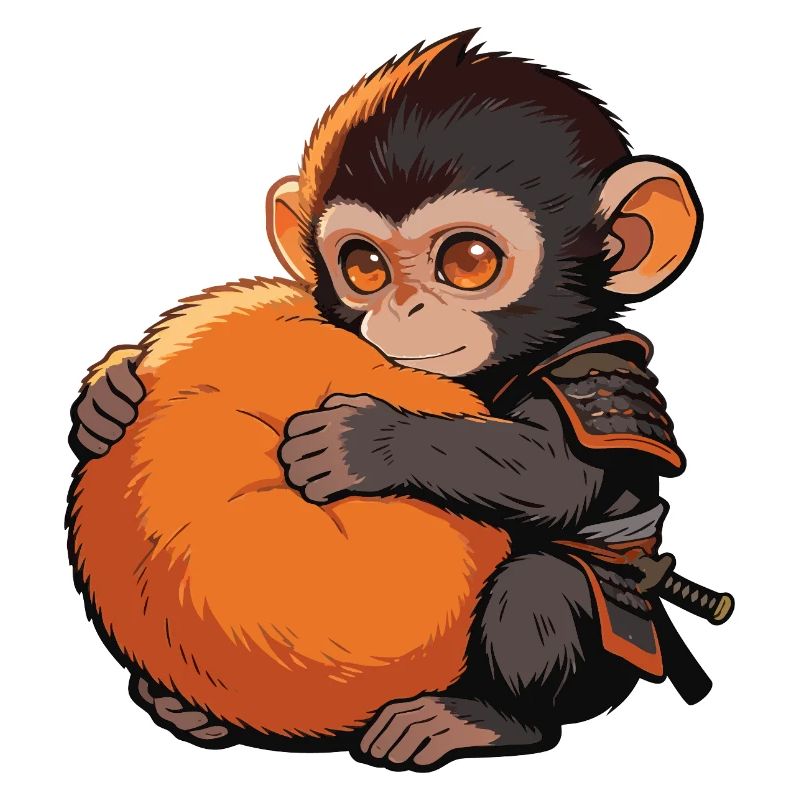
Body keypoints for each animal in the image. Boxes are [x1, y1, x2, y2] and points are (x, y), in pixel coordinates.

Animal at [68, 31, 706, 770]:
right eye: (364, 266)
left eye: (468, 261)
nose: (404, 307)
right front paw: (107, 392)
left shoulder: (594, 368)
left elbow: (558, 477)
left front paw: (364, 442)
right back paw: (182, 706)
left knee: (540, 585)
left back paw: (482, 720)